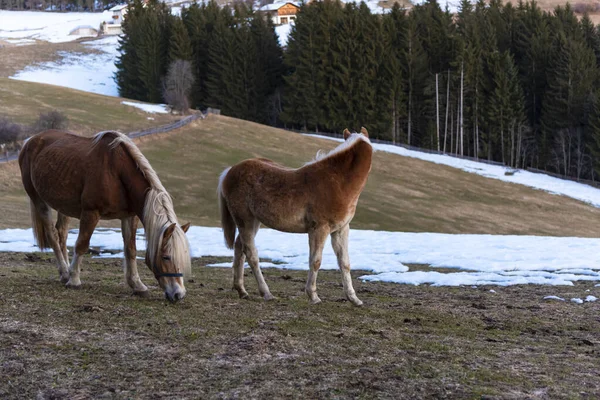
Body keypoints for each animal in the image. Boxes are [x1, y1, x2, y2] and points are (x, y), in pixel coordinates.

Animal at [19, 130, 191, 302]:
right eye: (166, 257)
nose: (178, 294)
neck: (117, 172)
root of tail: (31, 141)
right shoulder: (91, 213)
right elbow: (82, 245)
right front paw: (74, 280)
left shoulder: (129, 217)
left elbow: (131, 249)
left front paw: (137, 285)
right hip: (38, 199)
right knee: (53, 235)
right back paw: (66, 273)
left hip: (63, 207)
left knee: (62, 234)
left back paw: (65, 272)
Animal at [218, 128, 372, 306]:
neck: (337, 181)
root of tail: (230, 171)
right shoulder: (319, 229)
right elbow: (315, 261)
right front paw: (313, 296)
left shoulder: (341, 229)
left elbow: (344, 262)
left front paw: (354, 298)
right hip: (246, 221)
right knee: (251, 254)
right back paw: (266, 293)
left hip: (253, 222)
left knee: (239, 248)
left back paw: (242, 291)